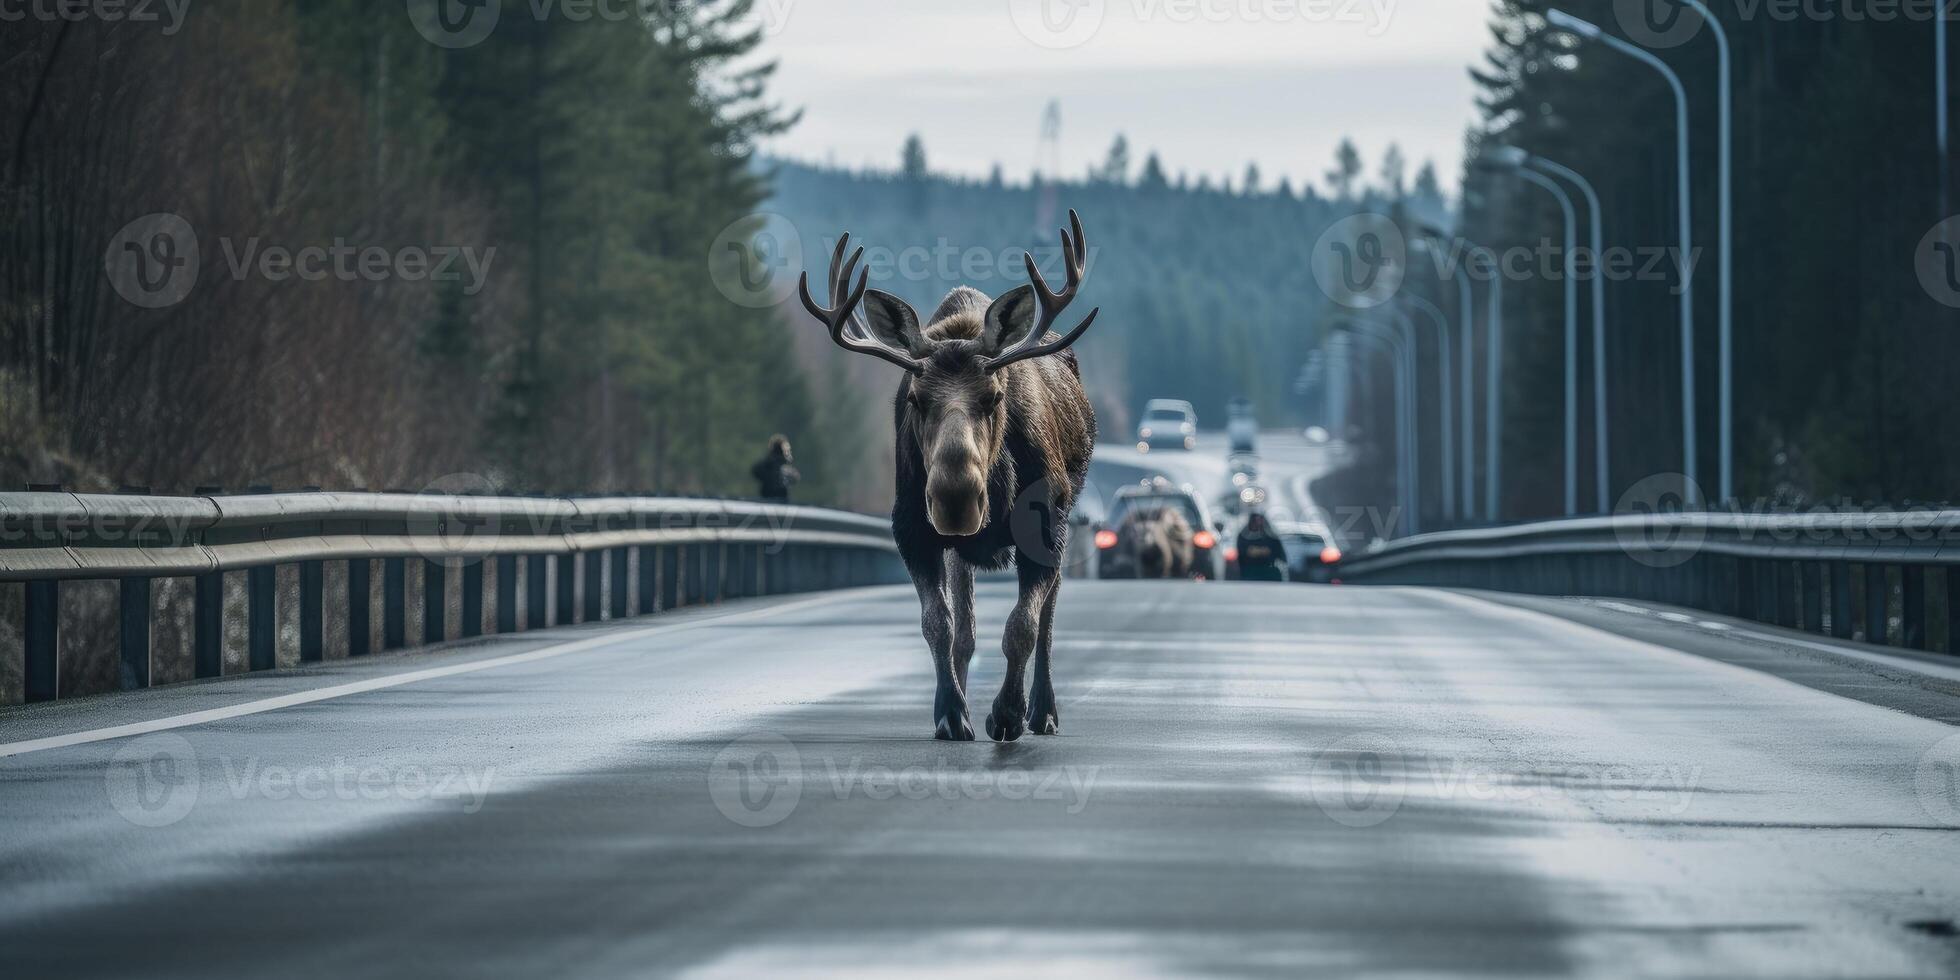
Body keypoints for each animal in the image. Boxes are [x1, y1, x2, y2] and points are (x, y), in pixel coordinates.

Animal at [795, 208, 1105, 740]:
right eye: (916, 399)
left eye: (995, 396)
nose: (955, 498)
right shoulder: (911, 529)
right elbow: (937, 624)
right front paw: (951, 711)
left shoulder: (1044, 526)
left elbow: (1023, 626)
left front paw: (1007, 712)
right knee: (966, 626)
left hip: (1065, 515)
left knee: (1048, 617)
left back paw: (1043, 710)